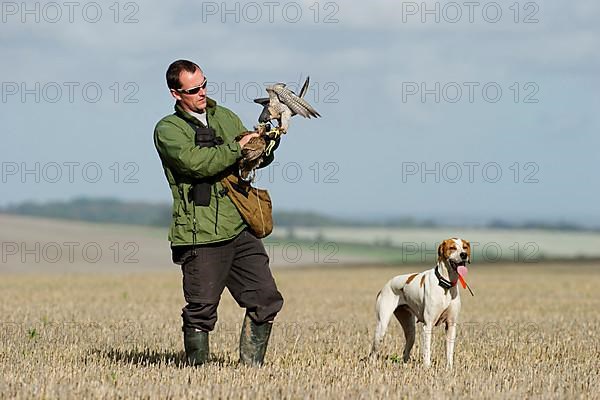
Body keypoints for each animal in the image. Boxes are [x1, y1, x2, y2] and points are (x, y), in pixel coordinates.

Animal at [368, 238, 472, 368]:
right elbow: (427, 350)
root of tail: (386, 285)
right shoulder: (428, 325)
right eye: (452, 248)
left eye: (465, 247)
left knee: (405, 351)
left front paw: (449, 369)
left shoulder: (451, 325)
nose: (464, 255)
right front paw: (427, 368)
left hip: (410, 330)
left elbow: (449, 351)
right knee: (373, 352)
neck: (445, 285)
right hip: (382, 327)